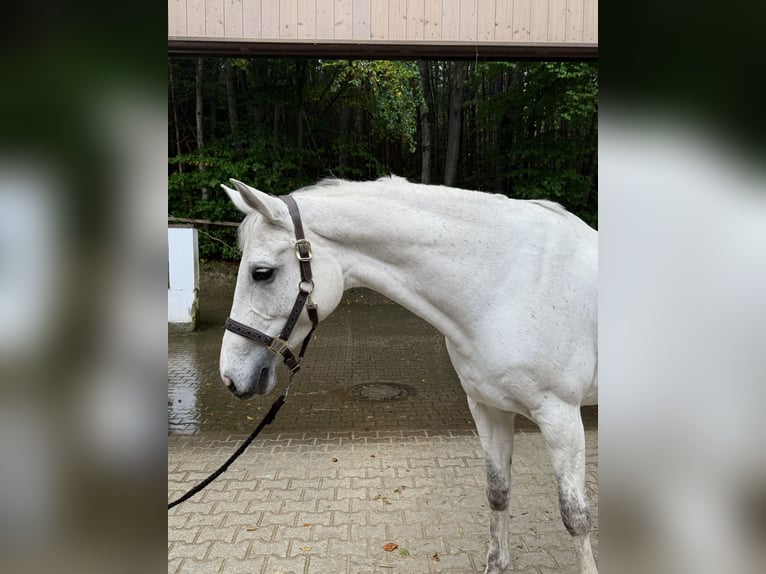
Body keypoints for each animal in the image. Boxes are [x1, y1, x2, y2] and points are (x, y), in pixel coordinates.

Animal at [218, 178, 600, 572]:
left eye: (261, 273)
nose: (230, 377)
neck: (506, 284)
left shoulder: (560, 417)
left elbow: (575, 515)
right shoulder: (489, 409)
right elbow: (498, 492)